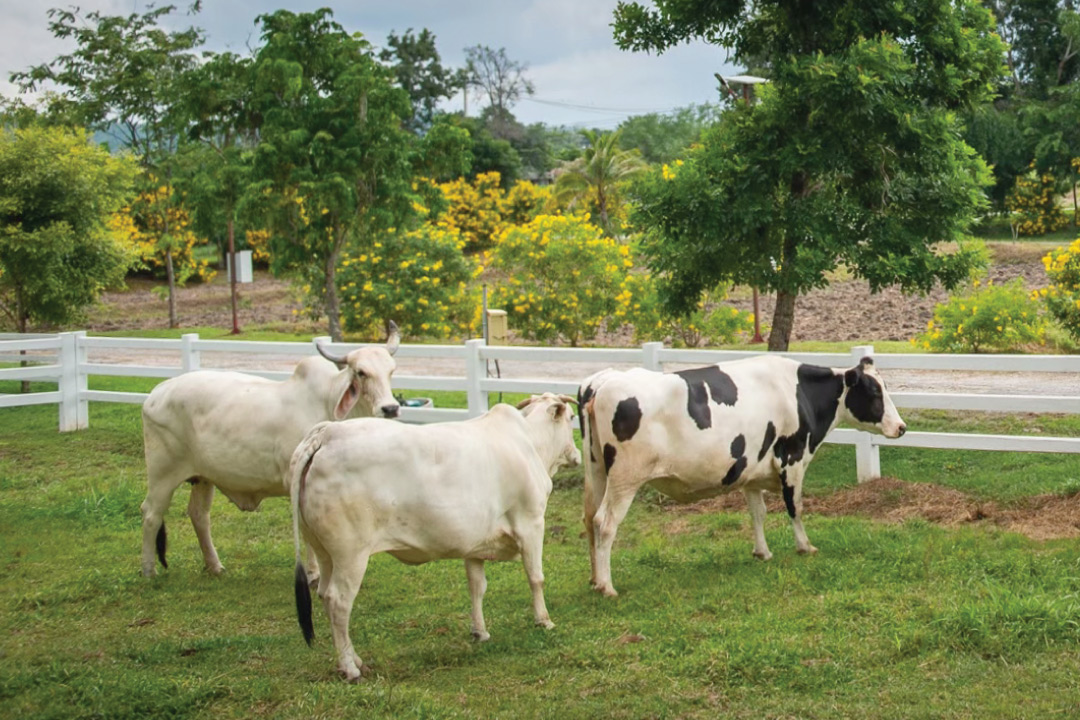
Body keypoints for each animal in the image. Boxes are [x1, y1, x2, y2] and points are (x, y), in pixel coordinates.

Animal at [139, 323, 401, 578]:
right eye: (361, 372)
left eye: (391, 371)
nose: (390, 408)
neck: (327, 404)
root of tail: (157, 393)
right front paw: (313, 573)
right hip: (162, 473)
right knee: (151, 513)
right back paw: (149, 570)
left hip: (203, 477)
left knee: (199, 515)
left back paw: (214, 566)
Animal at [289, 395, 583, 682]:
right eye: (571, 418)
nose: (577, 454)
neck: (531, 444)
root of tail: (329, 432)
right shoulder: (531, 524)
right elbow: (536, 578)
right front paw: (544, 620)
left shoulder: (475, 544)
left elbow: (477, 587)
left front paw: (480, 632)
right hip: (351, 554)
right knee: (339, 602)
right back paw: (351, 668)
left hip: (325, 552)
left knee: (324, 594)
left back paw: (355, 660)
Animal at [578, 354, 907, 595]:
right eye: (874, 391)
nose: (901, 427)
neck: (798, 392)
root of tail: (602, 381)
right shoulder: (792, 458)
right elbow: (795, 507)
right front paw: (805, 546)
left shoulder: (751, 469)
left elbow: (757, 512)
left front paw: (762, 552)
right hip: (625, 478)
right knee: (604, 523)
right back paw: (607, 586)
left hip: (596, 471)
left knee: (589, 518)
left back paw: (594, 579)